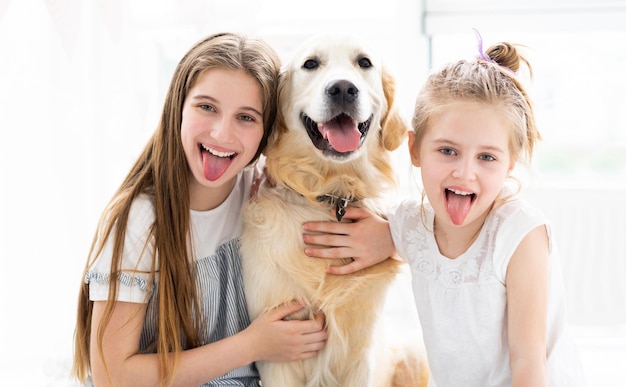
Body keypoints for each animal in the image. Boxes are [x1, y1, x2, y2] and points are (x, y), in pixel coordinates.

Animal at [241, 34, 426, 387]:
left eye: (364, 62)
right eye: (310, 64)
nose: (342, 89)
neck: (330, 194)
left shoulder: (362, 351)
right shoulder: (279, 349)